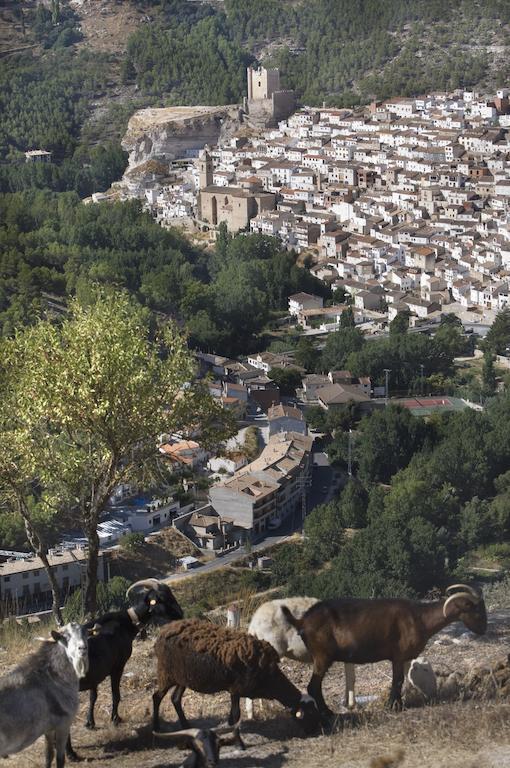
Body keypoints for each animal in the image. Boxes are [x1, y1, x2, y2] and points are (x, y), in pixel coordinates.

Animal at [0, 624, 88, 768]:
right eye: (66, 636)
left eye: (85, 632)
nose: (82, 648)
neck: (53, 676)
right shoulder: (63, 725)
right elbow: (60, 759)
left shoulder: (48, 729)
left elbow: (48, 756)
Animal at [65, 576, 181, 760]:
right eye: (162, 598)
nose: (180, 614)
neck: (125, 622)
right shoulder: (117, 666)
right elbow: (115, 694)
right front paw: (115, 719)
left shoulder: (96, 674)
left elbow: (93, 696)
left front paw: (90, 723)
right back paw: (70, 754)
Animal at [150, 616, 318, 744]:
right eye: (310, 714)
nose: (318, 731)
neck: (270, 678)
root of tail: (163, 631)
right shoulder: (236, 690)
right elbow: (236, 716)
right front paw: (239, 741)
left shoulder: (234, 691)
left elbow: (231, 718)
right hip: (166, 674)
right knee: (157, 697)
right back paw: (156, 728)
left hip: (183, 678)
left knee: (175, 698)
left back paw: (186, 726)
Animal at [282, 584, 486, 716]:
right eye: (475, 610)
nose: (483, 630)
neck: (420, 618)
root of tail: (302, 620)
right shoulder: (398, 656)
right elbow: (397, 680)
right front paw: (393, 706)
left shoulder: (406, 657)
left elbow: (404, 681)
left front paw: (401, 703)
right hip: (322, 657)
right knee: (313, 686)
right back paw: (328, 713)